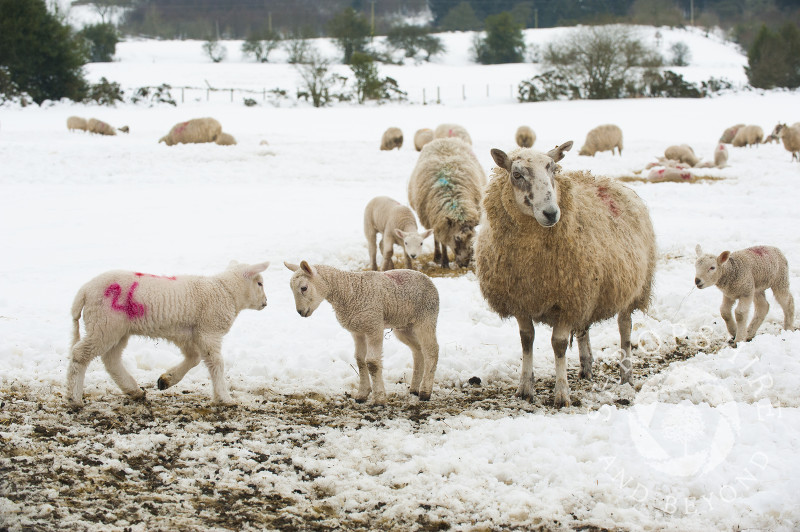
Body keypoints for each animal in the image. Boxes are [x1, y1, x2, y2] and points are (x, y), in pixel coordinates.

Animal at [64, 260, 268, 408]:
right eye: (259, 283)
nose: (266, 302)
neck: (225, 291)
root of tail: (84, 291)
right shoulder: (208, 331)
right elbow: (216, 363)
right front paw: (225, 398)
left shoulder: (188, 334)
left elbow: (194, 358)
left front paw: (166, 380)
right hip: (104, 325)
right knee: (80, 355)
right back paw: (74, 398)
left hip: (117, 330)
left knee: (111, 359)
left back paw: (134, 391)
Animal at [284, 260, 440, 404]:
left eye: (304, 288)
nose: (300, 312)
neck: (349, 291)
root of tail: (427, 278)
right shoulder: (357, 331)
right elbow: (359, 360)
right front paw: (362, 394)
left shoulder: (374, 326)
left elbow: (372, 363)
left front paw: (379, 398)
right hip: (404, 326)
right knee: (418, 351)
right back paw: (414, 388)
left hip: (426, 318)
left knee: (431, 351)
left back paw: (425, 392)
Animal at [406, 137, 488, 268]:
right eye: (457, 238)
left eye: (472, 238)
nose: (464, 264)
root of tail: (444, 138)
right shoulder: (441, 222)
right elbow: (443, 242)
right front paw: (444, 262)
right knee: (436, 237)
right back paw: (437, 257)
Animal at [476, 141, 656, 408]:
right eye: (516, 174)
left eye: (553, 169)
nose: (551, 213)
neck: (531, 261)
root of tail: (612, 182)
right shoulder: (522, 300)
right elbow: (526, 340)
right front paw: (524, 389)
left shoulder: (566, 300)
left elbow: (558, 345)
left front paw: (561, 394)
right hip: (586, 291)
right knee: (583, 329)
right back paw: (586, 367)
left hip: (631, 287)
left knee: (625, 329)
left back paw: (626, 376)